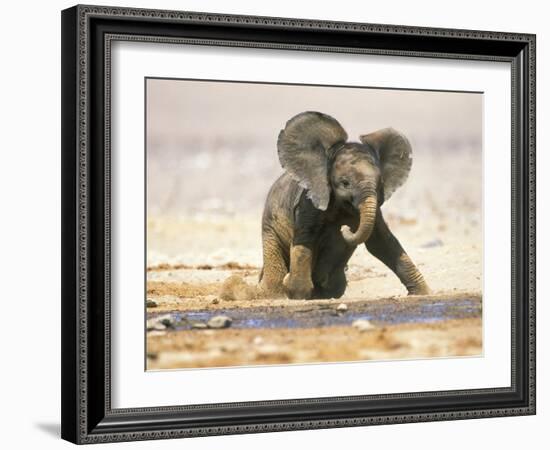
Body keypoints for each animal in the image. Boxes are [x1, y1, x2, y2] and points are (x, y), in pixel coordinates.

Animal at [260, 110, 434, 298]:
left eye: (379, 183)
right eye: (345, 183)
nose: (345, 228)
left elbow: (381, 243)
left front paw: (424, 293)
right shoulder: (309, 202)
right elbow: (305, 239)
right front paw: (299, 295)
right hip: (269, 227)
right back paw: (274, 293)